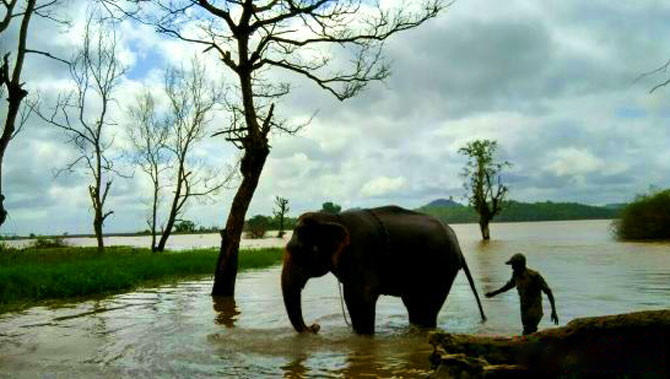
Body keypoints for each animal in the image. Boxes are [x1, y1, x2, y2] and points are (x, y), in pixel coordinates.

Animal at [282, 205, 488, 336]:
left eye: (298, 251)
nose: (315, 326)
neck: (332, 217)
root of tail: (458, 244)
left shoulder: (363, 253)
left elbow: (360, 298)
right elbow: (353, 298)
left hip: (441, 269)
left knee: (426, 305)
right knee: (414, 304)